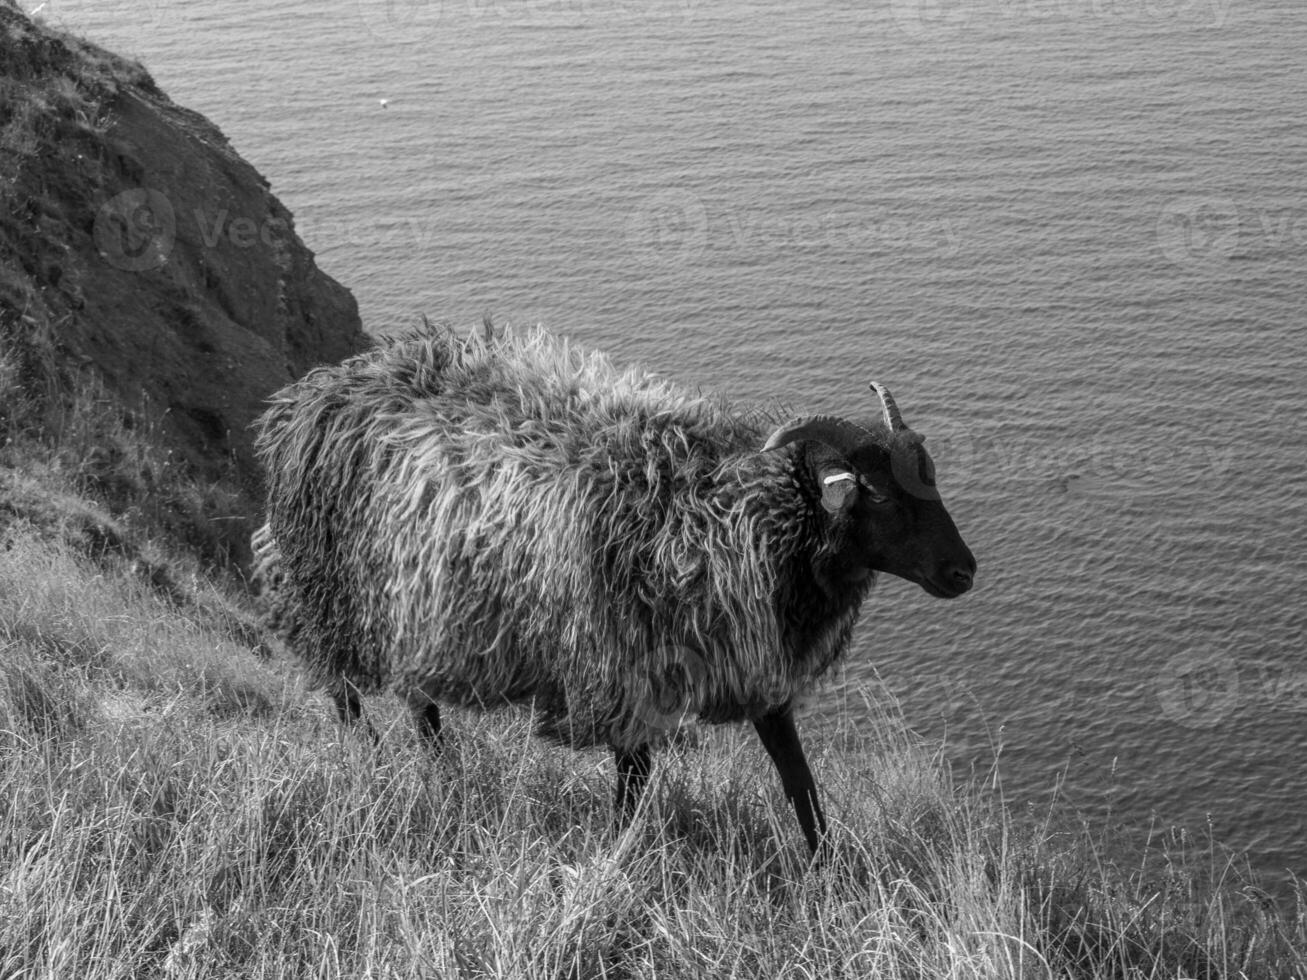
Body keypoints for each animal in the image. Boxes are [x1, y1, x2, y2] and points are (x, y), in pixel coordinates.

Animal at [249, 326, 977, 857]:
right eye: (876, 494)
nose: (963, 572)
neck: (718, 513)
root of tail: (311, 393)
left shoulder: (755, 671)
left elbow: (800, 783)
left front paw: (827, 872)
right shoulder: (621, 676)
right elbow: (633, 788)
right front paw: (619, 862)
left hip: (410, 607)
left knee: (418, 703)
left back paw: (443, 777)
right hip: (330, 588)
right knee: (346, 692)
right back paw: (373, 767)